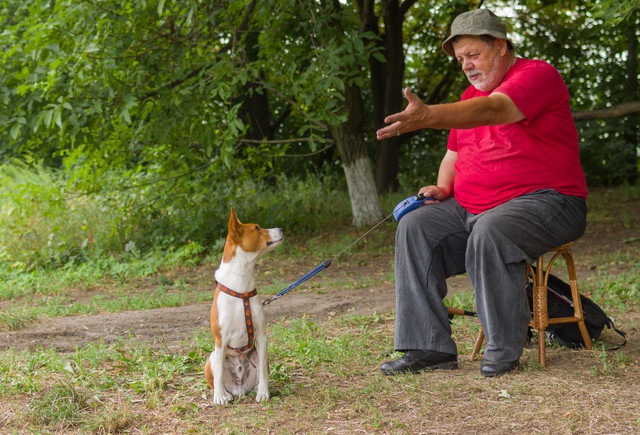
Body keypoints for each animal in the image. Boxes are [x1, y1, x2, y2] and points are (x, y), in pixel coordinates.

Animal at [204, 208, 284, 406]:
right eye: (257, 228)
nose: (282, 228)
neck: (241, 289)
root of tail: (239, 388)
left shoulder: (261, 336)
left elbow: (263, 373)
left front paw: (263, 393)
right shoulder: (221, 339)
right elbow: (218, 376)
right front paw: (219, 396)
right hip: (212, 357)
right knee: (217, 377)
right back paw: (225, 394)